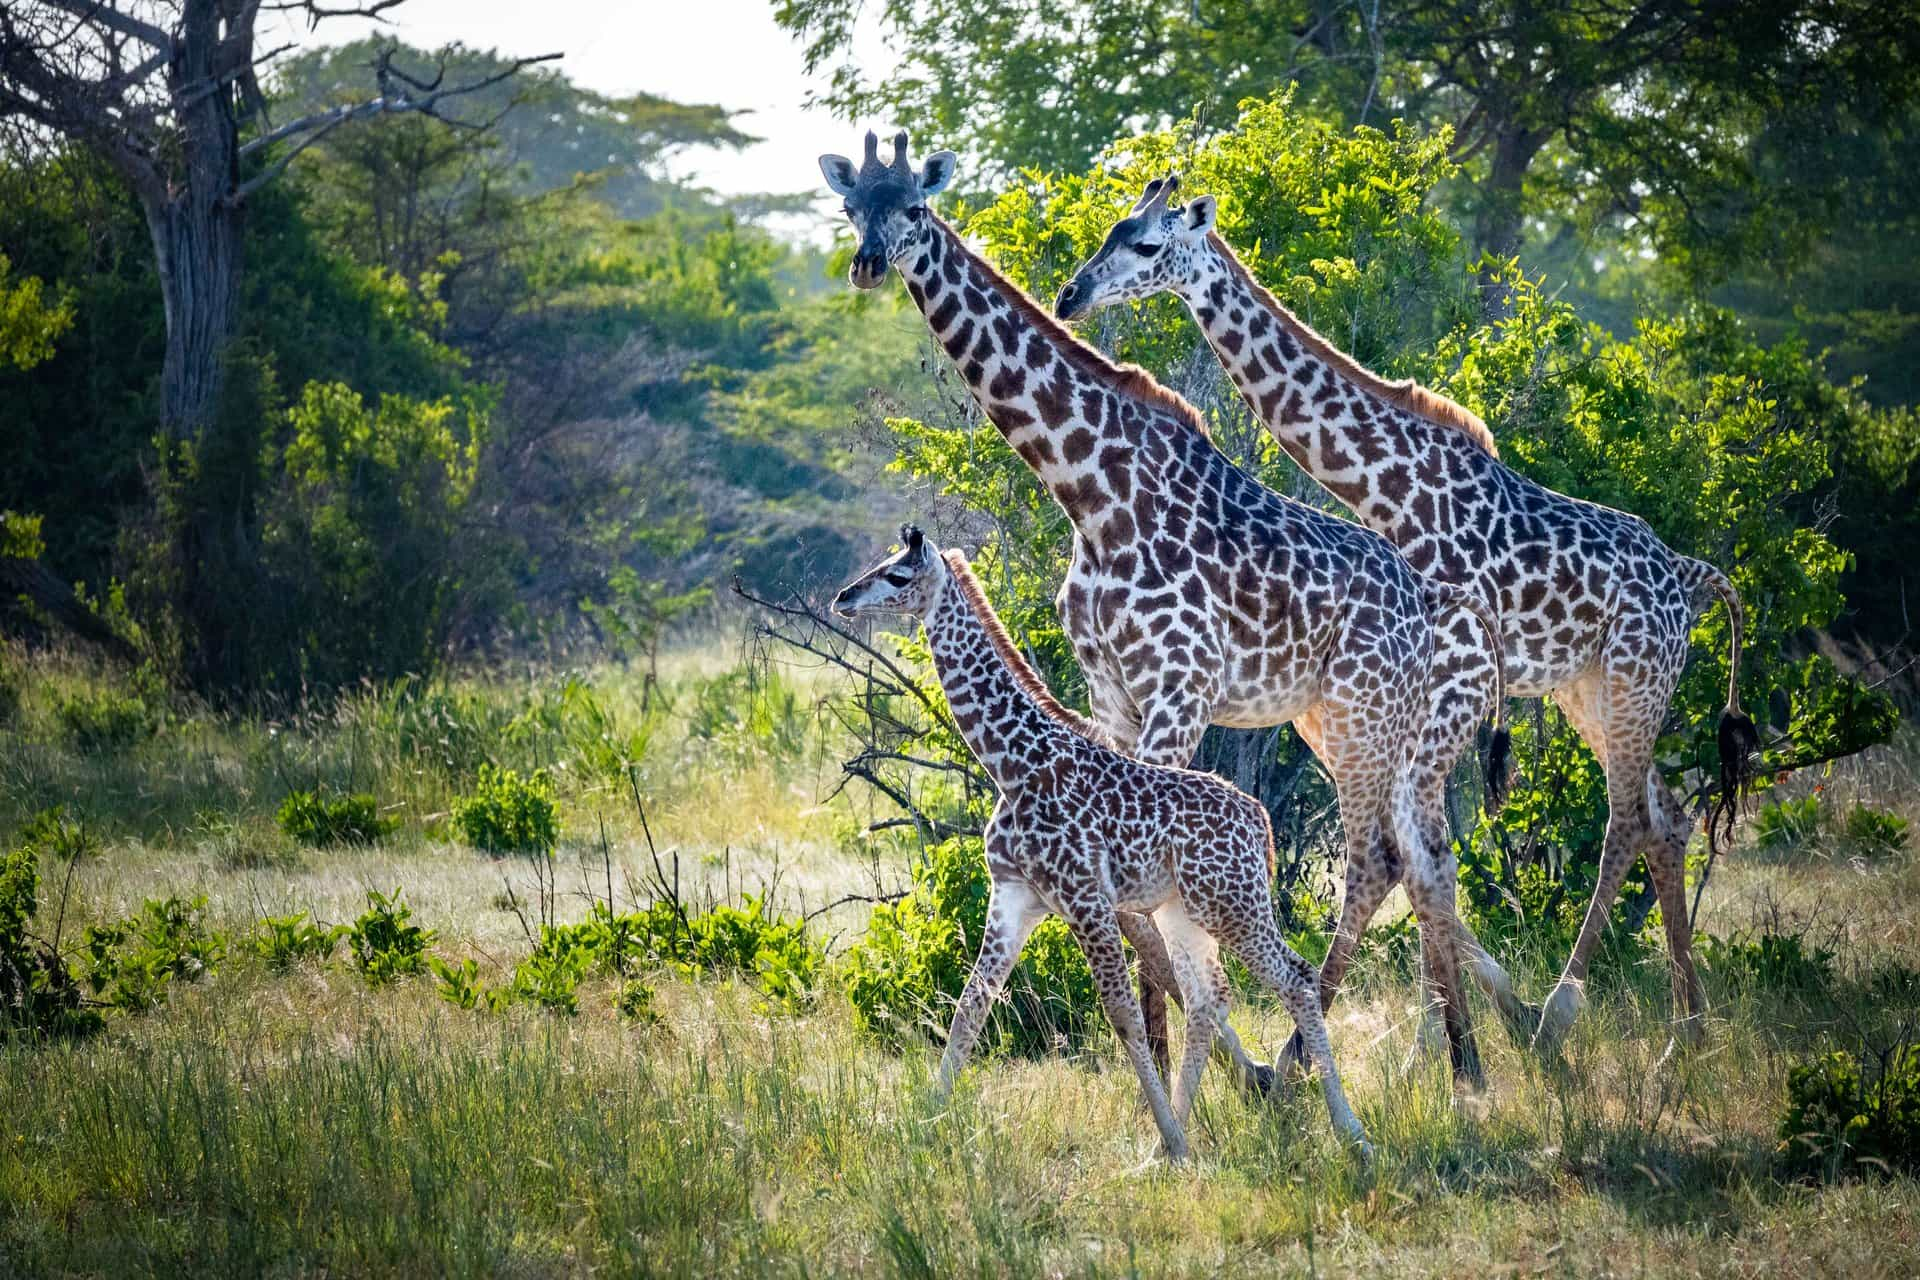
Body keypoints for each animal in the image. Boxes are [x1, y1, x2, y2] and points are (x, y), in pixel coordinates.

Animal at [817, 132, 1520, 1090]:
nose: (868, 264)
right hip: (1349, 725)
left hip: (1367, 716)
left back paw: (1356, 1064)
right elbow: (1135, 894)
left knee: (1380, 857)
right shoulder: (1110, 692)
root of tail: (1438, 602)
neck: (1091, 490)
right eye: (854, 208)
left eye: (916, 209)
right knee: (1422, 854)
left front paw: (1210, 1072)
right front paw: (1162, 1064)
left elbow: (1146, 899)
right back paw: (1468, 1053)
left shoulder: (1178, 689)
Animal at [833, 525, 1374, 1166]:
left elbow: (1122, 1017)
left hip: (1233, 903)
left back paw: (1351, 1134)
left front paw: (1170, 1138)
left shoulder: (1085, 897)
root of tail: (1260, 822)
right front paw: (923, 1122)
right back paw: (1179, 1136)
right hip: (1184, 909)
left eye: (897, 574)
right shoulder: (1015, 897)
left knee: (1294, 978)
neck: (1011, 764)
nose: (843, 597)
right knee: (1207, 998)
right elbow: (970, 1007)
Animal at [1059, 175, 1758, 1051]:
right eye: (1110, 231)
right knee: (1665, 818)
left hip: (1636, 679)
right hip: (1591, 691)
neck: (1387, 489)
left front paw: (1440, 1039)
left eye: (1147, 245)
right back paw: (1683, 1024)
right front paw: (1438, 1035)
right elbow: (1423, 857)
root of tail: (1691, 576)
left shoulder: (1452, 680)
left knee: (1627, 820)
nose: (1071, 295)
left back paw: (1574, 1014)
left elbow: (1422, 856)